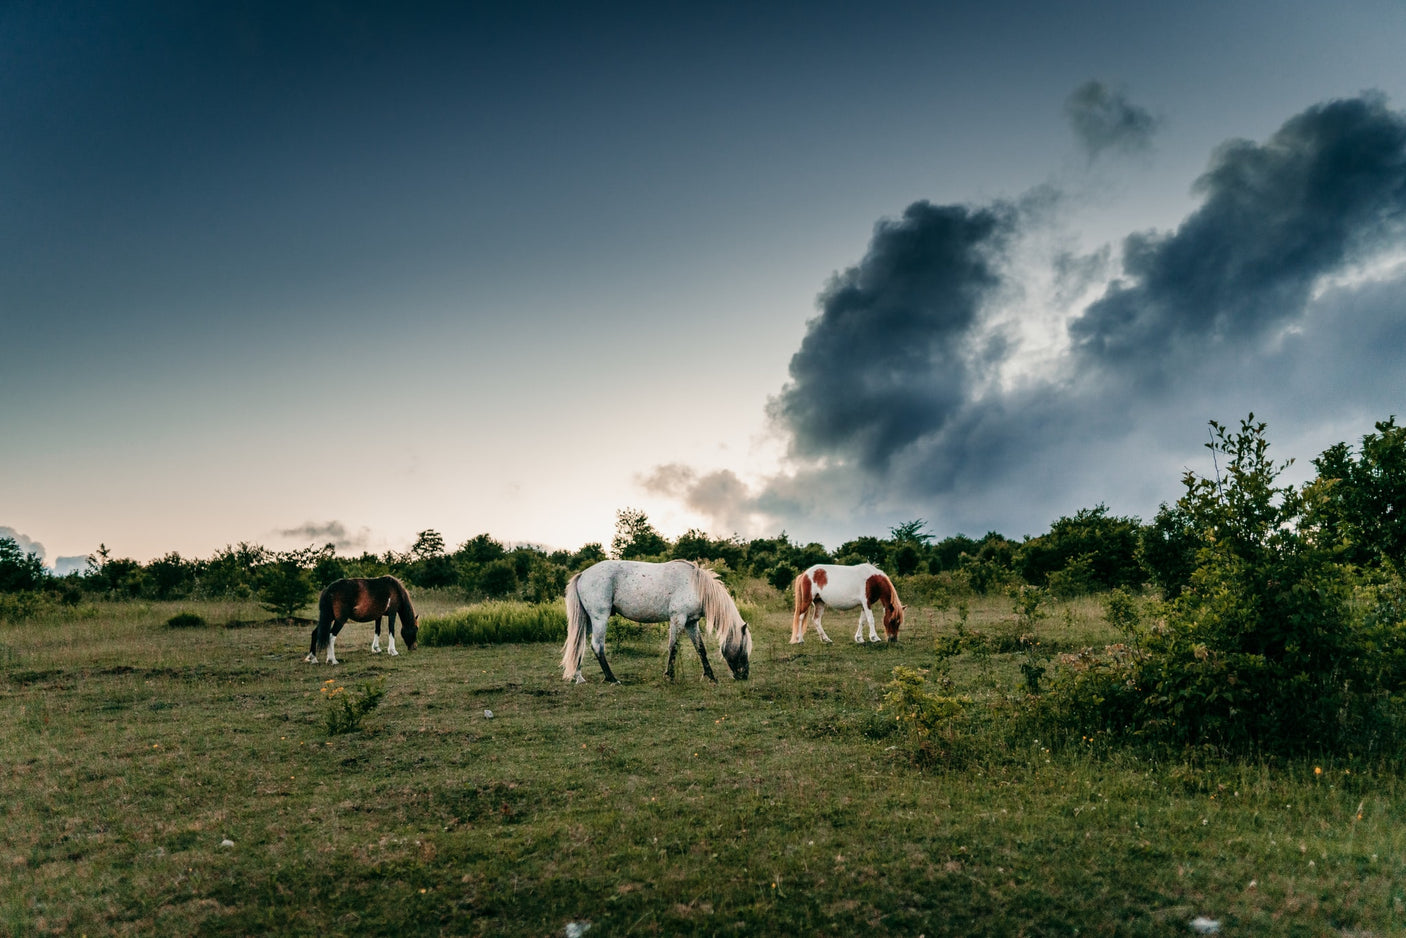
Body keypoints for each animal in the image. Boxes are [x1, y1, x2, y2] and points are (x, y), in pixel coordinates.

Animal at [561, 559, 752, 684]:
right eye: (743, 647)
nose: (744, 675)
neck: (695, 585)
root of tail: (583, 574)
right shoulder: (678, 619)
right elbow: (673, 647)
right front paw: (670, 676)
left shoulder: (691, 623)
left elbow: (700, 649)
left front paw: (711, 677)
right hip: (600, 618)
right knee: (597, 646)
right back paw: (612, 679)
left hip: (588, 621)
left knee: (579, 643)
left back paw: (579, 677)